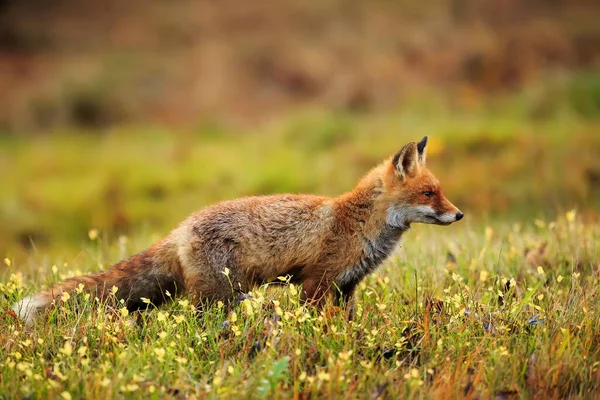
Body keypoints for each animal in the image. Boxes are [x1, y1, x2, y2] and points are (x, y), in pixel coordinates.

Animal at [14, 136, 464, 324]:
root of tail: (180, 228)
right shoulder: (316, 283)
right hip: (222, 295)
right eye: (429, 193)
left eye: (441, 191)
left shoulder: (346, 285)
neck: (357, 222)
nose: (459, 215)